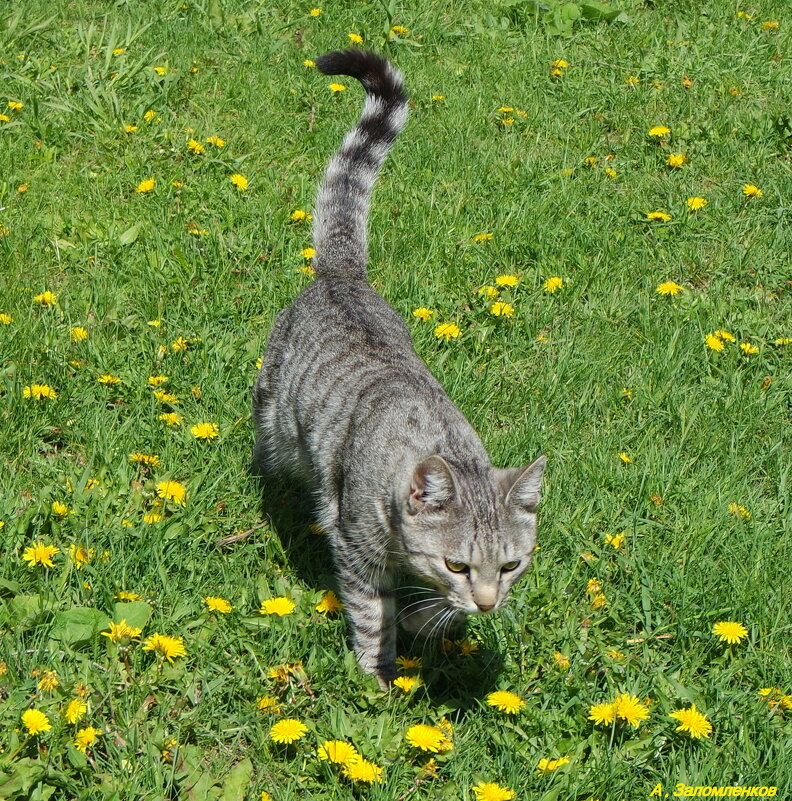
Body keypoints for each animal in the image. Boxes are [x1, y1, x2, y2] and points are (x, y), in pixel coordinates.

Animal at [254, 48, 544, 688]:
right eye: (456, 564)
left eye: (510, 565)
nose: (489, 602)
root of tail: (341, 275)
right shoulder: (355, 545)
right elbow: (371, 611)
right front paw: (378, 671)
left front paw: (428, 621)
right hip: (275, 417)